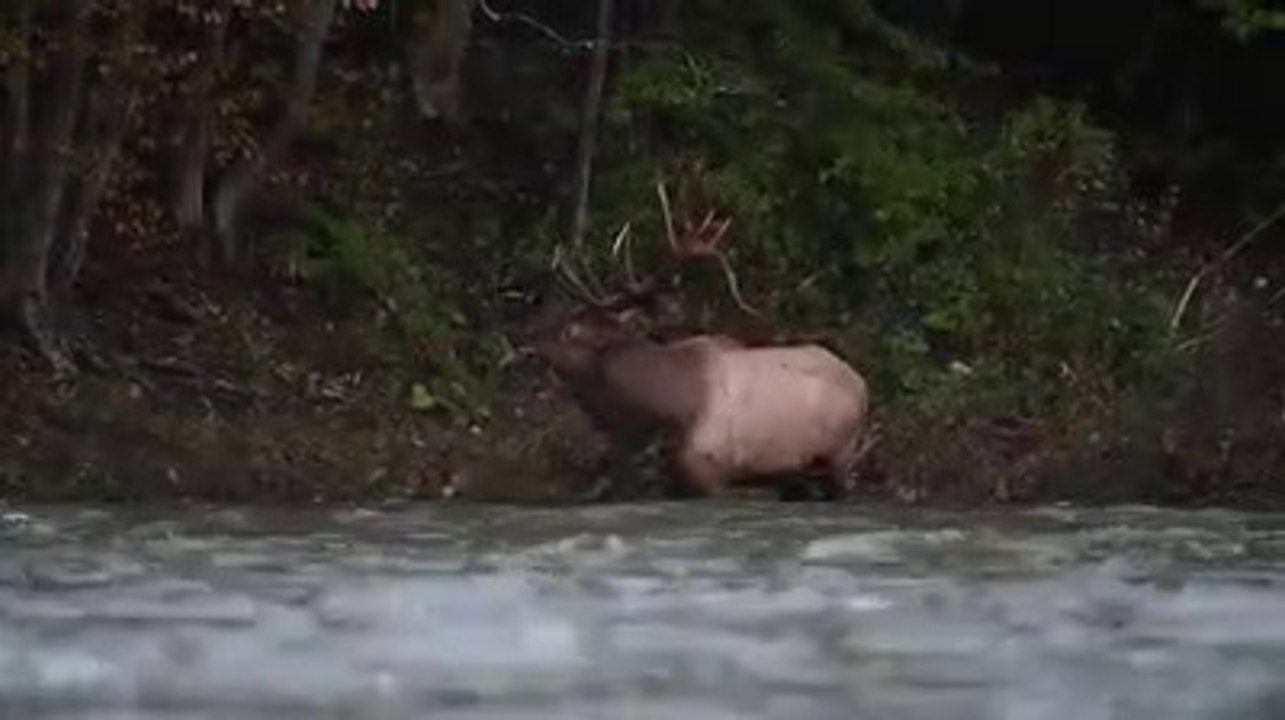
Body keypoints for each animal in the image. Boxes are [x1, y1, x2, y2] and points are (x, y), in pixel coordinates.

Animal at [523, 176, 875, 502]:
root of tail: (862, 385)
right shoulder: (674, 480)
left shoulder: (710, 474)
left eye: (571, 329)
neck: (661, 414)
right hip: (797, 475)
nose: (528, 339)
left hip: (841, 458)